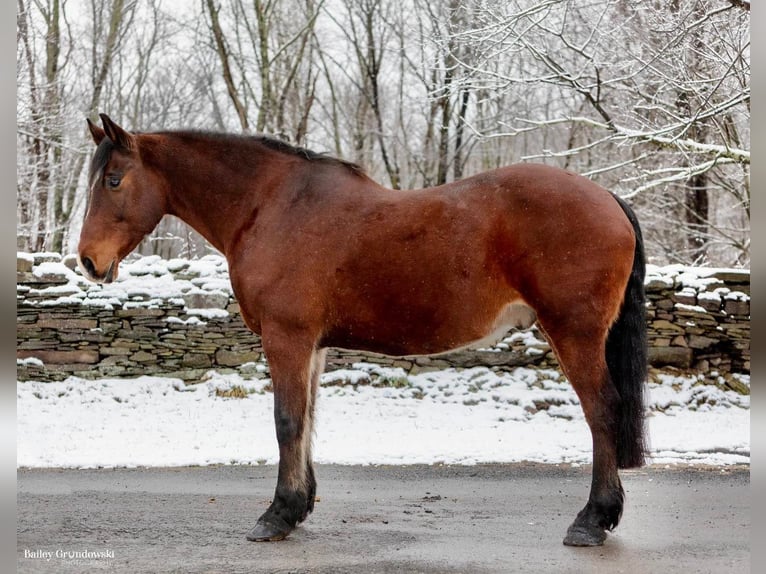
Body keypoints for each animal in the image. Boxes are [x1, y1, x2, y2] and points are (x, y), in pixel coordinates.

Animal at [78, 113, 652, 548]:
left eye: (113, 180)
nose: (87, 261)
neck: (271, 206)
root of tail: (608, 198)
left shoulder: (286, 338)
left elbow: (286, 421)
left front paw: (276, 516)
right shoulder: (310, 346)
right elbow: (307, 421)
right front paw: (298, 506)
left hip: (574, 334)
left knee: (602, 411)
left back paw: (592, 521)